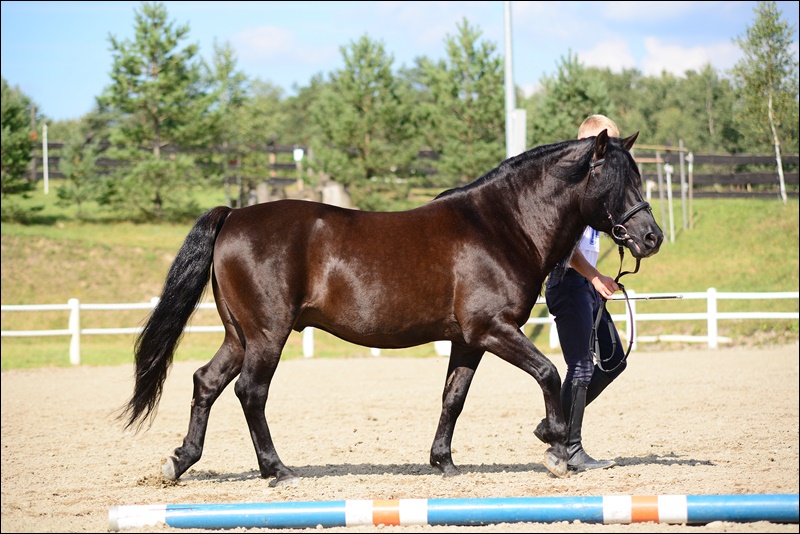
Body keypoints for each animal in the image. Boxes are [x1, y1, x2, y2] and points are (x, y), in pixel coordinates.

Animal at [122, 130, 664, 486]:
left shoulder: (467, 340)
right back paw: (276, 470)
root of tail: (234, 214)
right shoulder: (492, 329)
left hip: (241, 335)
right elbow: (549, 372)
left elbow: (453, 398)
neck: (500, 225)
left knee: (206, 383)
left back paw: (180, 461)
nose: (651, 238)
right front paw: (552, 445)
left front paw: (443, 461)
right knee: (250, 393)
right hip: (267, 336)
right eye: (617, 178)